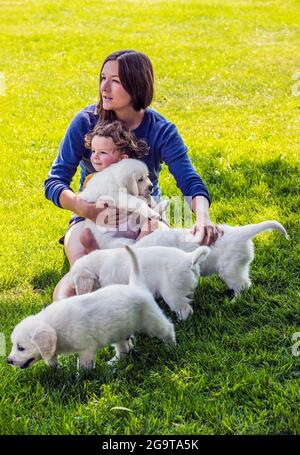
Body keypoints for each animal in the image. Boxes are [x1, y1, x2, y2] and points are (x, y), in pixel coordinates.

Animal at [7, 248, 176, 372]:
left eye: (21, 348)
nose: (8, 361)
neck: (55, 326)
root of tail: (136, 285)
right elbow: (52, 359)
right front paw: (54, 370)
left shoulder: (86, 350)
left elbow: (84, 367)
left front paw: (79, 380)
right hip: (120, 331)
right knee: (124, 349)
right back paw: (113, 363)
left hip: (152, 320)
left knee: (168, 329)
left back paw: (171, 348)